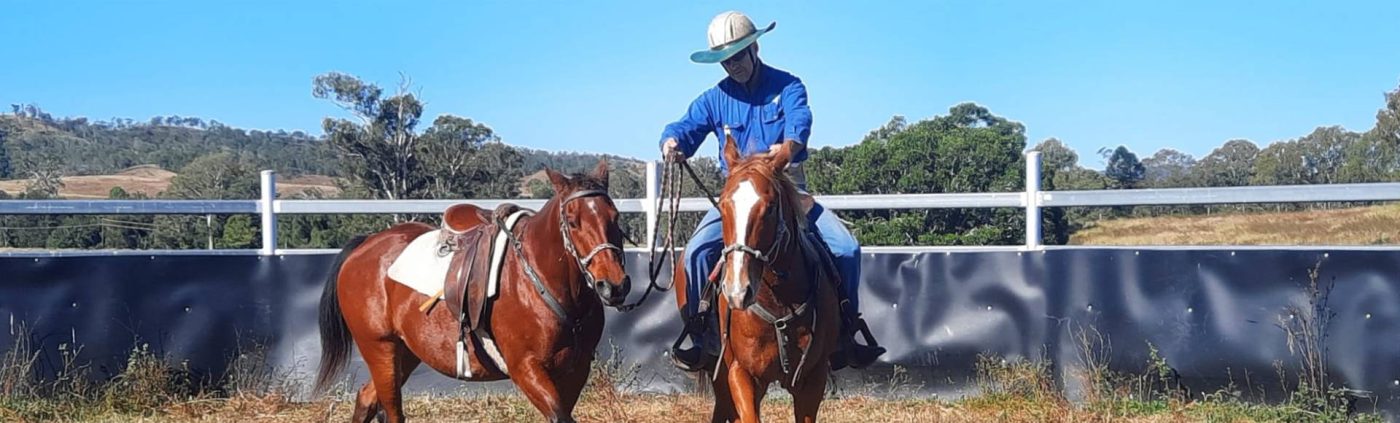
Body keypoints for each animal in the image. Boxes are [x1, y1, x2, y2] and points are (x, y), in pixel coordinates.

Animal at [315, 161, 632, 423]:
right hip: (380, 349)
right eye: (573, 220)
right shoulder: (526, 368)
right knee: (390, 411)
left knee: (366, 398)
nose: (614, 284)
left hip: (404, 353)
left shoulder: (576, 370)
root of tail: (365, 245)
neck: (543, 280)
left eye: (615, 216)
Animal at [700, 136, 840, 423]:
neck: (778, 299)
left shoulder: (813, 378)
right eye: (722, 205)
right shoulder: (740, 374)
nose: (737, 291)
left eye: (771, 207)